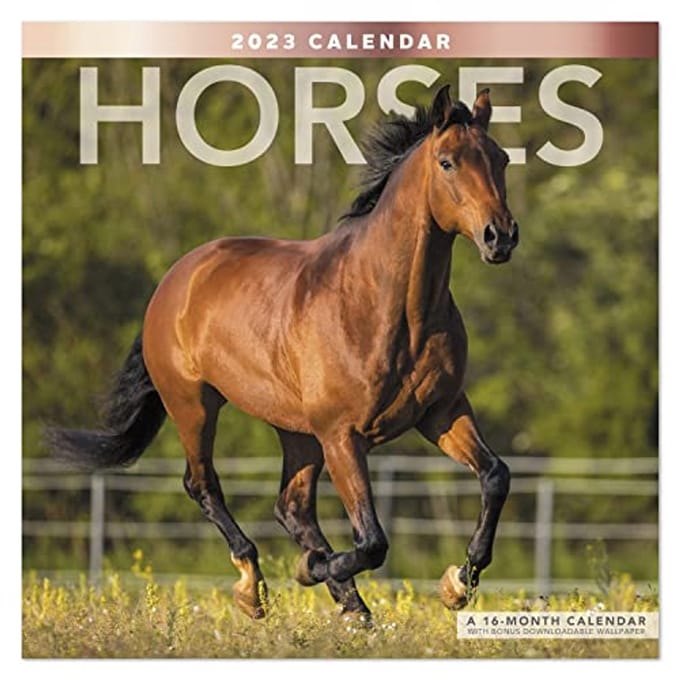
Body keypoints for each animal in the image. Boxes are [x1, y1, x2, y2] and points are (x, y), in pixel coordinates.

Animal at [48, 85, 519, 621]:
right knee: (203, 484)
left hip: (296, 431)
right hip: (195, 405)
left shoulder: (441, 412)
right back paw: (255, 587)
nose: (500, 236)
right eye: (447, 163)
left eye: (501, 159)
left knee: (290, 506)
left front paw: (457, 583)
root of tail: (176, 277)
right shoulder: (342, 436)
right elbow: (373, 541)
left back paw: (348, 603)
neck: (389, 307)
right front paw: (314, 570)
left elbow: (495, 476)